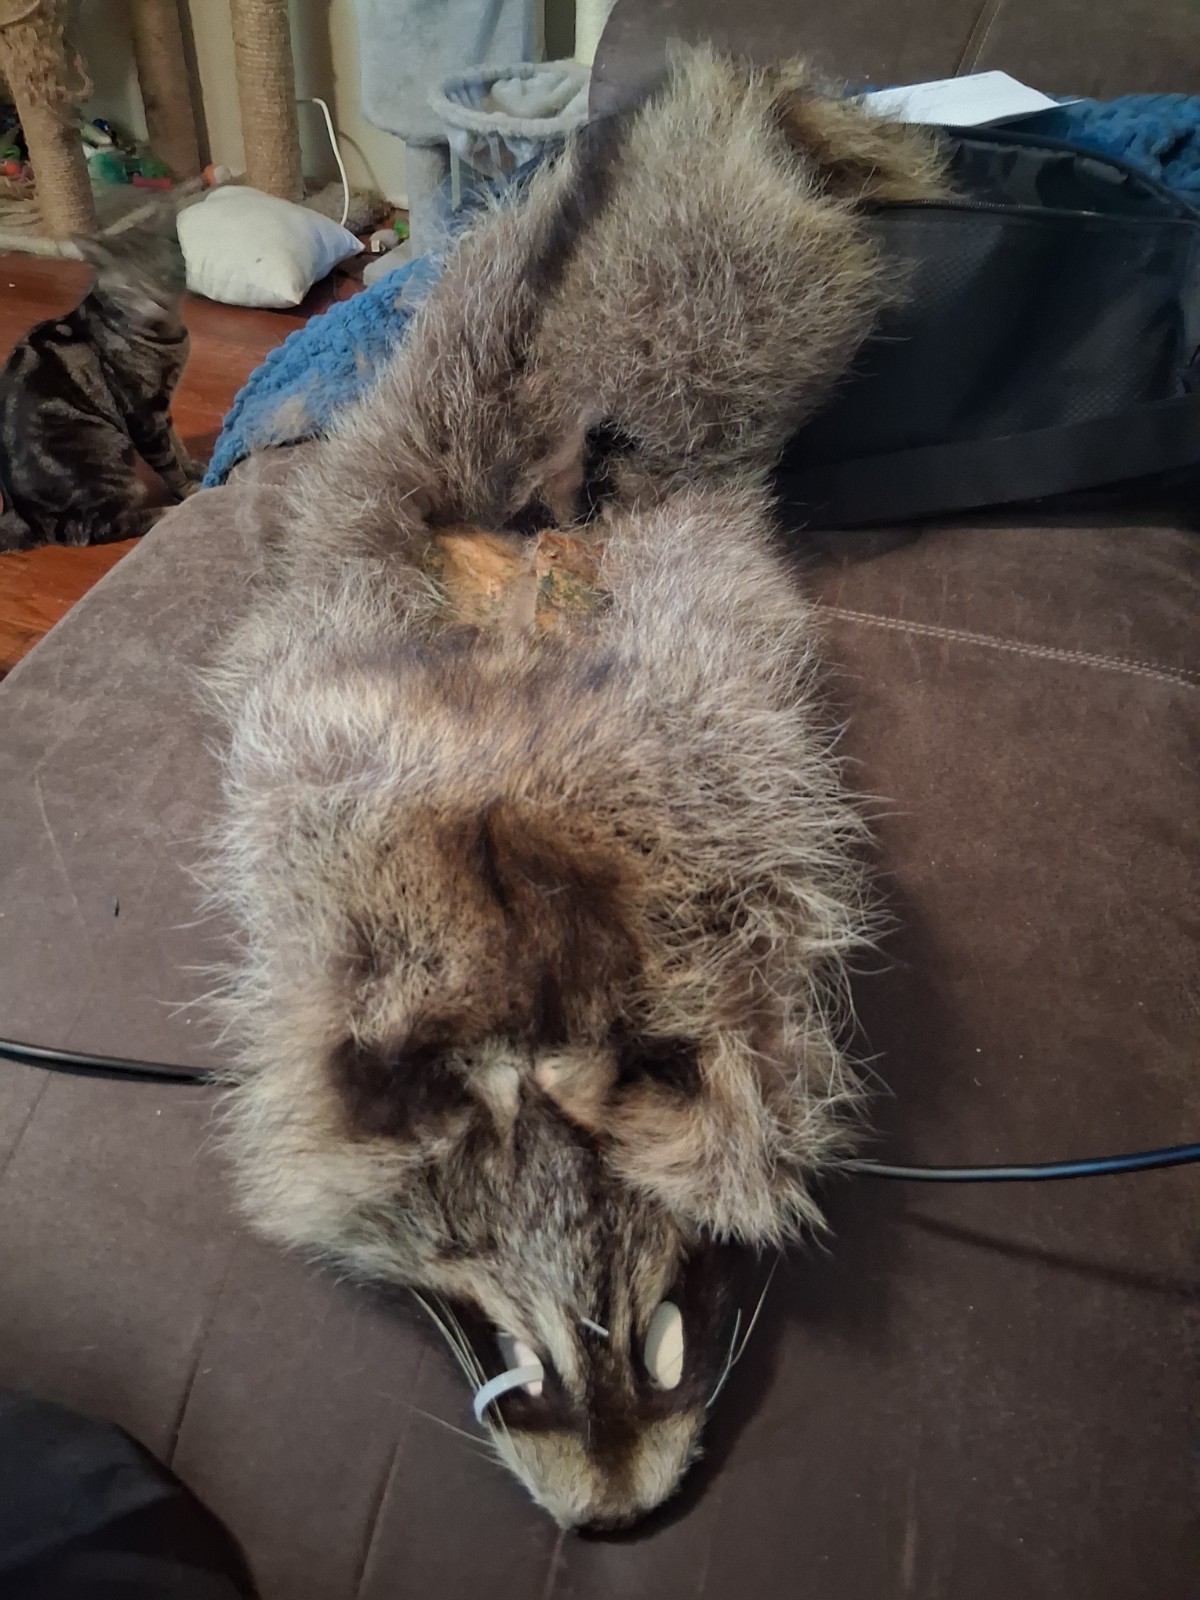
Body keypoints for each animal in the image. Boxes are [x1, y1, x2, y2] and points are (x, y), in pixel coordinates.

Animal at [207, 51, 940, 1527]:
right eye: (511, 1350)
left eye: (659, 1330)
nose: (614, 1521)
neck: (515, 959)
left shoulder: (732, 831)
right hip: (503, 342)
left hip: (725, 310)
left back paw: (822, 135)